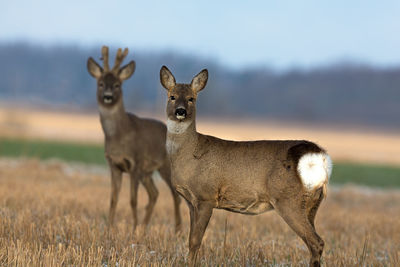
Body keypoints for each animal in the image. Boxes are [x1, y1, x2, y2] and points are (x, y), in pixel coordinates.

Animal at [88, 47, 183, 233]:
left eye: (117, 85)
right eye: (100, 83)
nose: (108, 96)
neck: (119, 136)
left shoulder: (135, 163)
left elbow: (133, 200)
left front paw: (132, 229)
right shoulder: (114, 165)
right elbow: (113, 199)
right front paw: (110, 227)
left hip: (165, 166)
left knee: (175, 195)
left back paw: (177, 230)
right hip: (147, 173)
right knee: (154, 194)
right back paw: (144, 228)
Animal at [159, 66, 332, 266]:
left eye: (191, 98)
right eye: (172, 96)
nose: (180, 111)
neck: (189, 153)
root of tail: (318, 156)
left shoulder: (206, 196)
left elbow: (195, 241)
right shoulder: (191, 201)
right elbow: (190, 240)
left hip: (289, 200)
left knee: (317, 242)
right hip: (312, 204)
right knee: (314, 243)